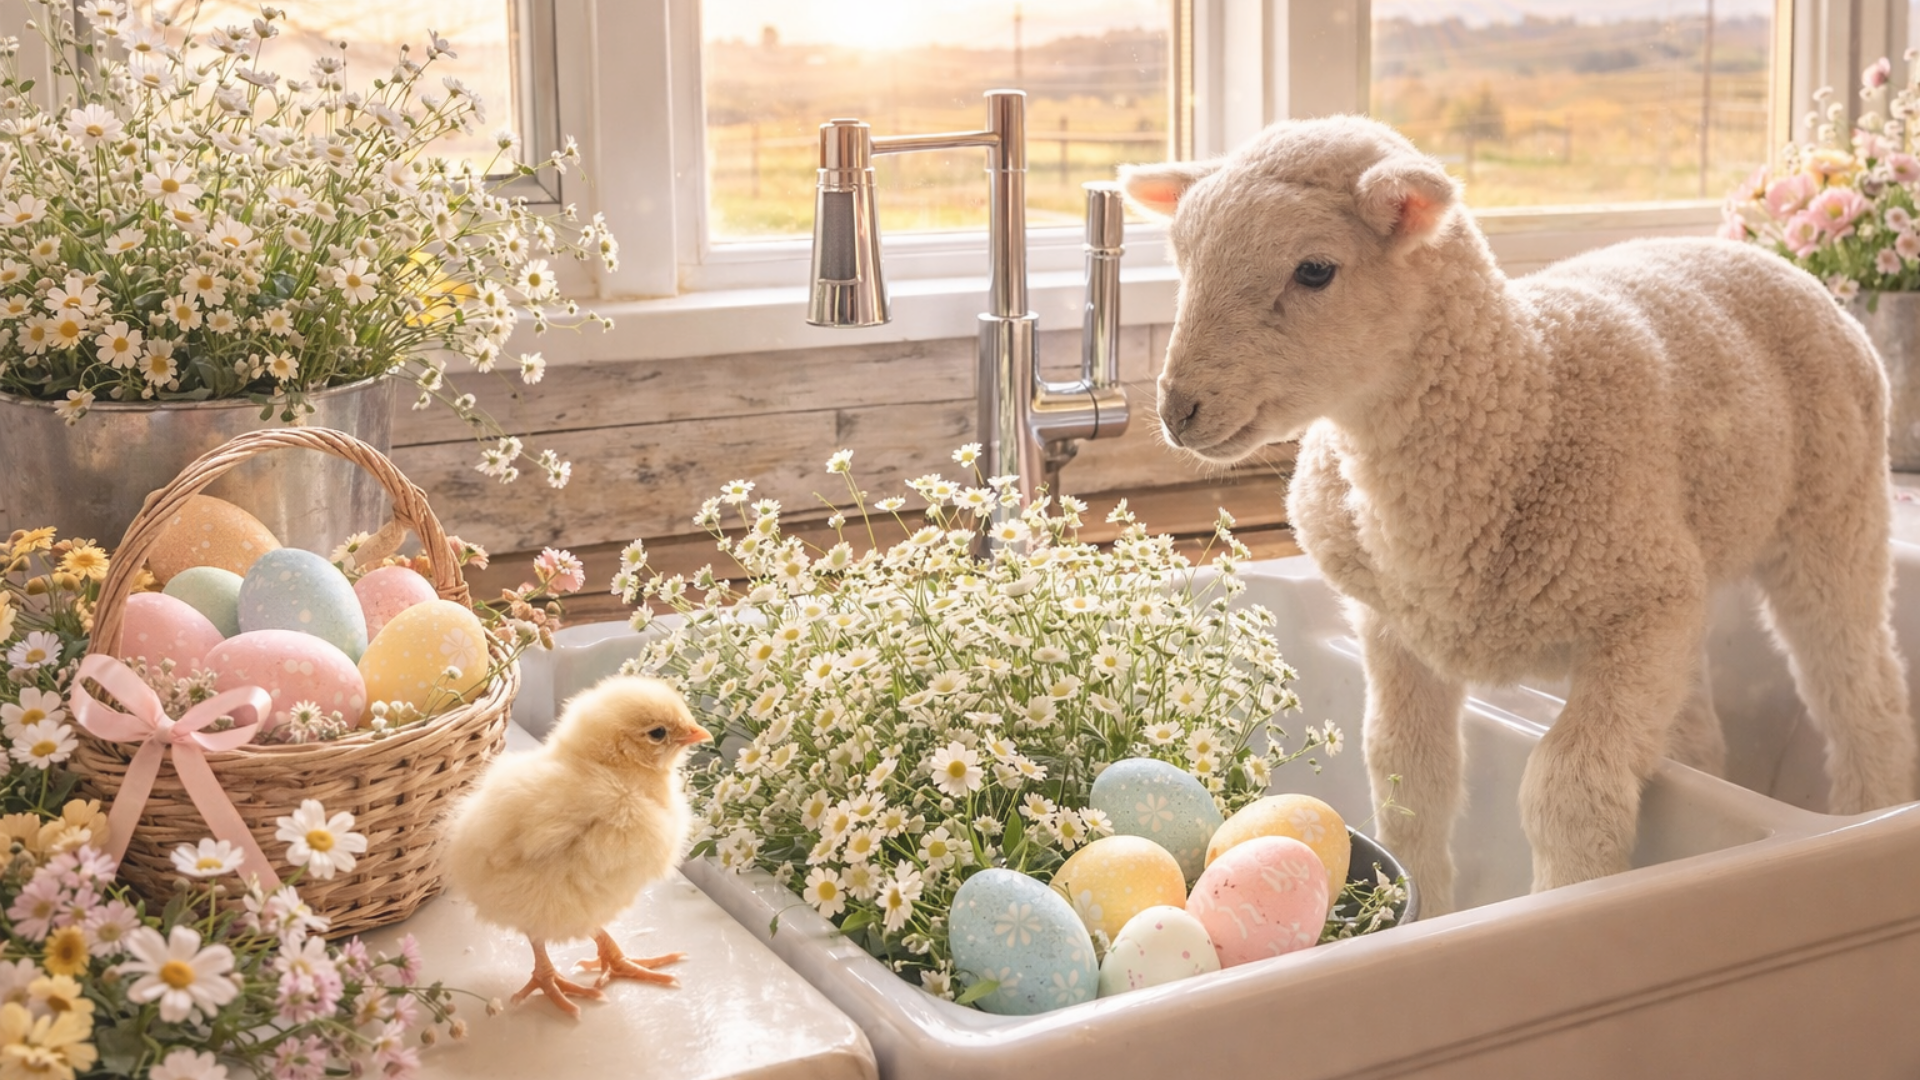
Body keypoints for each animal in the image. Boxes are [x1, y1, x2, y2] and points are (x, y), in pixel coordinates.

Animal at [1121, 115, 1918, 914]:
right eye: (1183, 260)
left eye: (1315, 270)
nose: (1177, 409)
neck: (1523, 400)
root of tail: (1766, 258)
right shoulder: (1399, 627)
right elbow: (1410, 777)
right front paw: (1428, 904)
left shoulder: (1635, 608)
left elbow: (1566, 787)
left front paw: (1567, 895)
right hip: (1680, 586)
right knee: (1698, 720)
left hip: (1830, 515)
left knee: (1861, 687)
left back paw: (1869, 803)